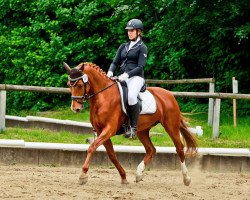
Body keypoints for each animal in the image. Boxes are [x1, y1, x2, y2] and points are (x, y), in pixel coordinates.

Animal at [63, 62, 196, 186]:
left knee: (179, 148)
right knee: (151, 149)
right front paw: (123, 177)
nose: (75, 108)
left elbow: (92, 147)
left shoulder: (109, 129)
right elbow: (112, 155)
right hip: (142, 131)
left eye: (80, 85)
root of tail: (169, 94)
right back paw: (139, 174)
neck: (103, 97)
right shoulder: (101, 131)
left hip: (171, 126)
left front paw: (83, 175)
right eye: (69, 85)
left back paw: (187, 178)